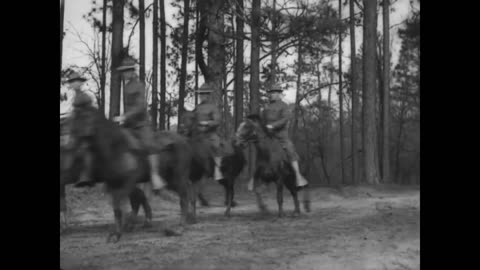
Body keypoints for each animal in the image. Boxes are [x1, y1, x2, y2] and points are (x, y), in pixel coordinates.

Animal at [62, 106, 196, 243]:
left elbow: (124, 205)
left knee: (184, 197)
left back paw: (178, 228)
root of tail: (183, 141)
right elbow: (118, 207)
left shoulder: (128, 181)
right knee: (187, 191)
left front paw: (121, 229)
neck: (116, 148)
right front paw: (119, 231)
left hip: (177, 177)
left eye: (84, 117)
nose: (71, 141)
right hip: (171, 179)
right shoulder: (114, 184)